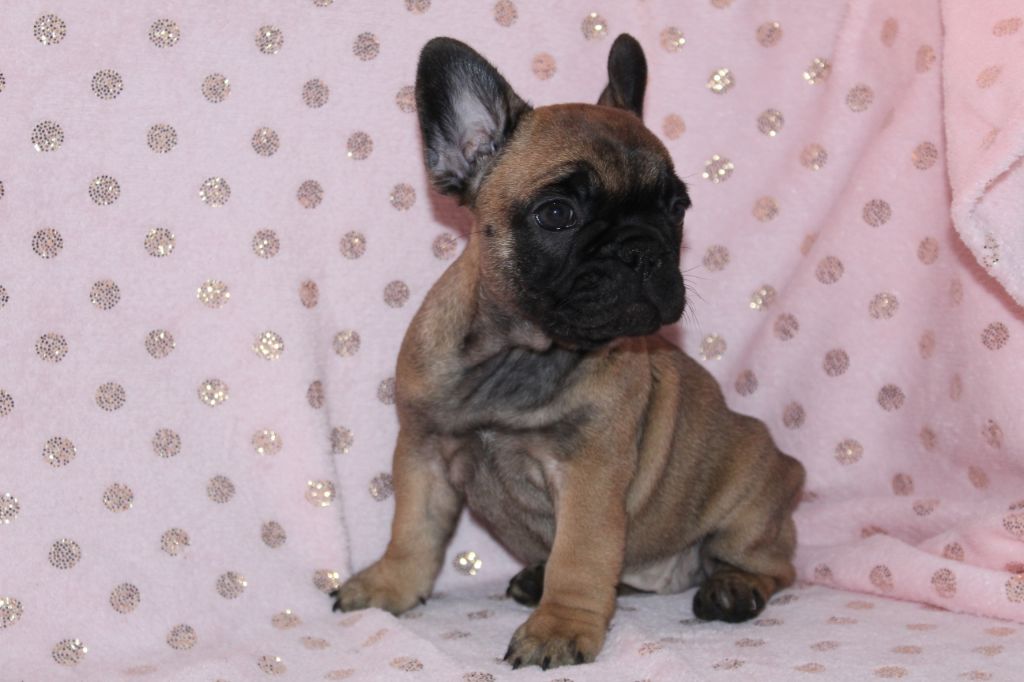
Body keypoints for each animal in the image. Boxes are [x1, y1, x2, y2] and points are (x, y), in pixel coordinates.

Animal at [332, 33, 805, 670]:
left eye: (676, 208)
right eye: (557, 213)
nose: (643, 249)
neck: (522, 349)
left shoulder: (590, 476)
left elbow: (581, 558)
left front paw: (560, 626)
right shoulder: (424, 453)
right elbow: (413, 531)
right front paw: (390, 585)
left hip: (750, 500)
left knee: (773, 564)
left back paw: (732, 589)